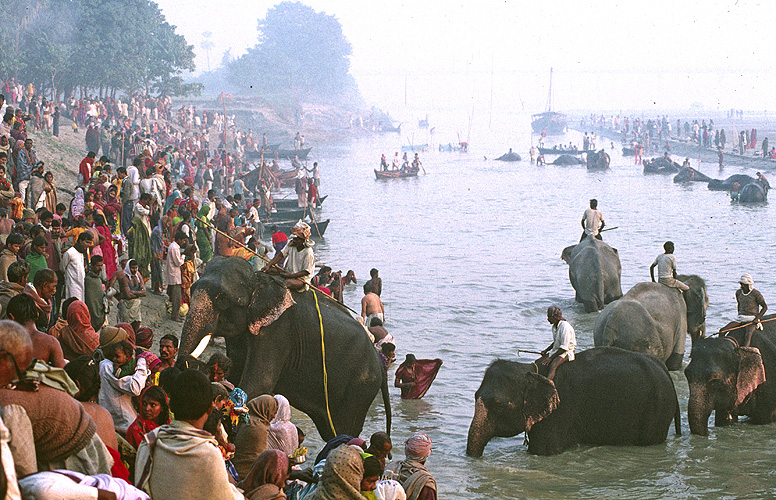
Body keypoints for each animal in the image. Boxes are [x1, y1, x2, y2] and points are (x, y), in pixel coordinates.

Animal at [179, 258, 392, 442]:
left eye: (222, 299)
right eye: (192, 288)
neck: (258, 279)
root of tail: (380, 364)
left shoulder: (278, 330)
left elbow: (258, 383)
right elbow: (237, 375)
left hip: (360, 387)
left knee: (344, 432)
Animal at [466, 348, 680, 458]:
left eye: (498, 405)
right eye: (475, 396)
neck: (531, 370)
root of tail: (664, 370)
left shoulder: (560, 413)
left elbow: (544, 451)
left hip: (658, 409)